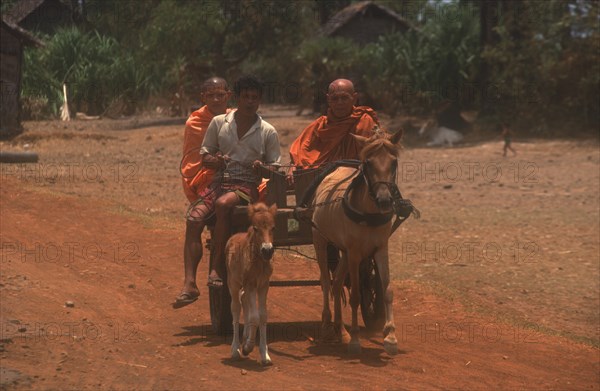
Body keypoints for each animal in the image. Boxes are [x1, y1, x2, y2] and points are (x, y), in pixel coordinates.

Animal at [226, 204, 278, 366]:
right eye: (255, 228)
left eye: (273, 227)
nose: (267, 250)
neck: (259, 261)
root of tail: (232, 238)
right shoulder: (250, 284)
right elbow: (254, 317)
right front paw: (247, 347)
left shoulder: (263, 285)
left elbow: (262, 316)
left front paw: (265, 354)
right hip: (233, 284)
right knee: (236, 308)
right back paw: (235, 349)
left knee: (244, 301)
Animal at [310, 131, 404, 356]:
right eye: (368, 163)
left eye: (394, 162)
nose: (384, 200)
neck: (368, 214)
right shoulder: (354, 253)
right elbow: (354, 297)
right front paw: (355, 340)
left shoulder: (381, 249)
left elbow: (387, 291)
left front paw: (390, 338)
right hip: (320, 240)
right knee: (326, 282)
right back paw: (327, 325)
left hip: (343, 251)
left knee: (336, 284)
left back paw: (340, 329)